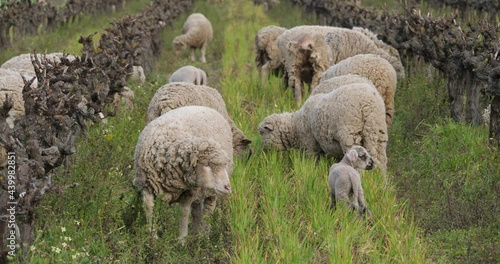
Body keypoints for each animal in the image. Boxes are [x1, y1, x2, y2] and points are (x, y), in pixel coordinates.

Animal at [133, 105, 234, 245]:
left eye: (224, 165)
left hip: (211, 193)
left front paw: (181, 242)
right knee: (197, 211)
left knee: (208, 212)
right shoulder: (147, 186)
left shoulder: (188, 192)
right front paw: (152, 237)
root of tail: (204, 107)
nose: (228, 187)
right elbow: (149, 208)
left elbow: (184, 213)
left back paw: (203, 238)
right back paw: (196, 235)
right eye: (207, 164)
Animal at [260, 82, 388, 172]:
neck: (295, 126)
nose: (263, 152)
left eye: (262, 132)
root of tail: (368, 104)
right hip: (379, 132)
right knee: (381, 161)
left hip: (350, 134)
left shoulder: (311, 144)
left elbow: (313, 162)